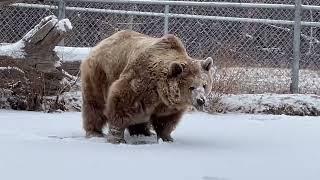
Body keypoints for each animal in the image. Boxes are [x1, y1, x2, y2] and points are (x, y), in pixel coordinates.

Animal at [79, 30, 212, 144]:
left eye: (204, 85)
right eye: (191, 87)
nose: (201, 100)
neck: (159, 89)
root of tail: (100, 44)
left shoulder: (167, 104)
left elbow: (165, 120)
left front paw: (167, 138)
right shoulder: (139, 82)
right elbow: (121, 104)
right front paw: (117, 138)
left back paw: (143, 132)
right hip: (100, 75)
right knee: (95, 105)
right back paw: (95, 132)